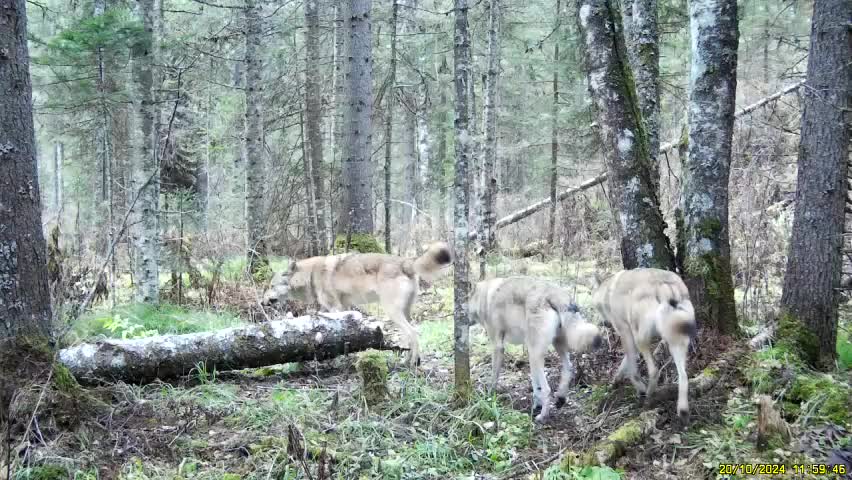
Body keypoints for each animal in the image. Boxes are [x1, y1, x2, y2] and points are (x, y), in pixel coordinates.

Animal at [262, 242, 456, 370]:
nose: (262, 302)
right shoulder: (339, 308)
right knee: (412, 335)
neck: (310, 275)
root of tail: (406, 261)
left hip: (392, 312)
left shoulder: (336, 308)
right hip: (404, 313)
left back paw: (411, 363)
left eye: (271, 286)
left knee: (414, 333)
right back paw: (411, 361)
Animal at [466, 276, 604, 422]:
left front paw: (488, 397)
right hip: (552, 347)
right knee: (569, 369)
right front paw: (536, 404)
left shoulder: (498, 346)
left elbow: (494, 377)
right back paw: (560, 398)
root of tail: (556, 293)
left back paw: (543, 416)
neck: (483, 298)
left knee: (547, 389)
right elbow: (535, 384)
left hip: (535, 353)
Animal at [592, 268, 700, 418]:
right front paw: (616, 379)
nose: (604, 324)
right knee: (683, 375)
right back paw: (682, 411)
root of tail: (663, 283)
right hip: (674, 342)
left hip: (642, 340)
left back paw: (648, 398)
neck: (608, 292)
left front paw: (640, 389)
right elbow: (625, 363)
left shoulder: (626, 333)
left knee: (654, 371)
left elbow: (632, 371)